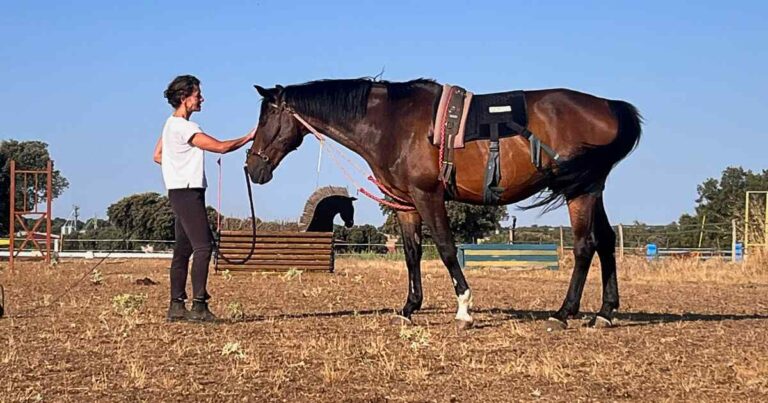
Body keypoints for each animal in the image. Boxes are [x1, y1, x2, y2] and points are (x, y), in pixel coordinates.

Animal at [246, 79, 640, 332]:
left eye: (266, 118)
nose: (252, 167)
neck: (392, 123)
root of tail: (610, 106)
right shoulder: (406, 204)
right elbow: (412, 254)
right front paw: (409, 308)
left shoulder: (428, 196)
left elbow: (447, 250)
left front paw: (464, 309)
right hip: (592, 189)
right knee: (606, 243)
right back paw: (604, 313)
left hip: (581, 191)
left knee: (584, 247)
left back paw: (563, 313)